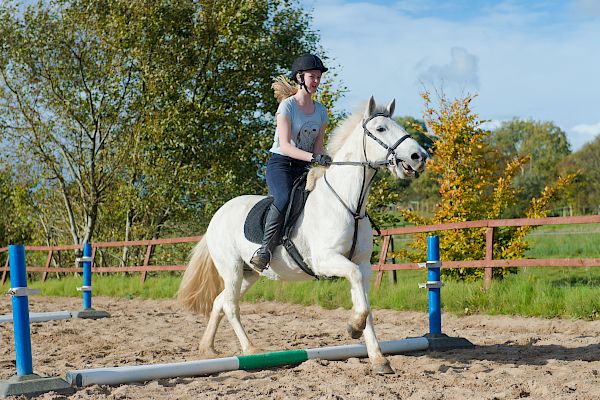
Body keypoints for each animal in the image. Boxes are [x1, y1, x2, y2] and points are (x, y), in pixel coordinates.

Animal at [176, 97, 428, 376]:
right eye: (381, 128)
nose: (419, 157)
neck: (349, 204)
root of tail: (218, 215)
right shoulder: (327, 260)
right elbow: (357, 291)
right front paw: (353, 327)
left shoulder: (362, 265)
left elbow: (366, 305)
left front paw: (379, 359)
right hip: (231, 267)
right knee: (230, 305)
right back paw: (251, 350)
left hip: (249, 273)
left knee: (221, 301)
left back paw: (208, 349)